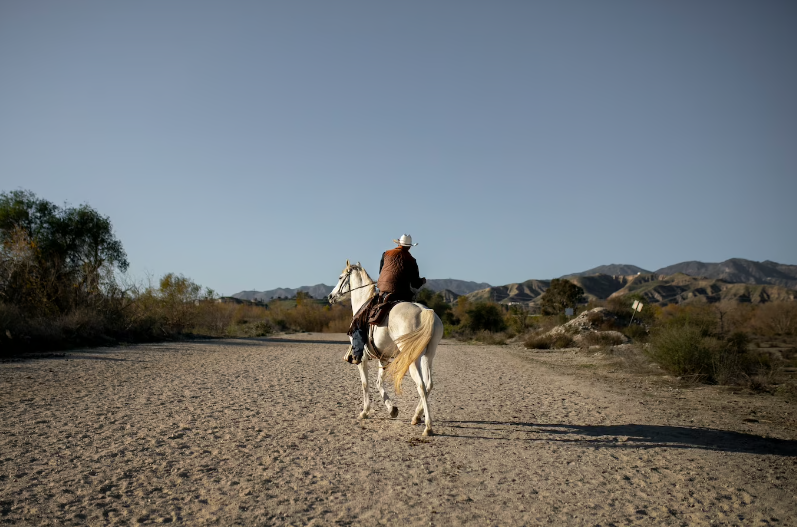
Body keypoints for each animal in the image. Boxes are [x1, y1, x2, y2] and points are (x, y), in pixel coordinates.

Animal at [326, 260, 444, 438]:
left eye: (340, 277)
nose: (330, 296)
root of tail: (425, 312)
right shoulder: (384, 357)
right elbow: (378, 382)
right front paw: (392, 409)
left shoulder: (362, 357)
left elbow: (365, 383)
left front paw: (365, 412)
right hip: (428, 356)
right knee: (429, 384)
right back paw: (416, 416)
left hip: (412, 359)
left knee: (422, 386)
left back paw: (428, 427)